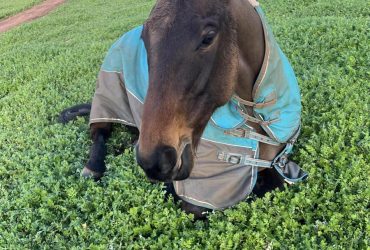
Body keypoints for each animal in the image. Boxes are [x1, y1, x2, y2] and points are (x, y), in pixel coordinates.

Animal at [60, 0, 308, 219]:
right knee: (99, 132)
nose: (154, 161)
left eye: (208, 37)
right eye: (145, 39)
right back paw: (93, 167)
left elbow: (276, 184)